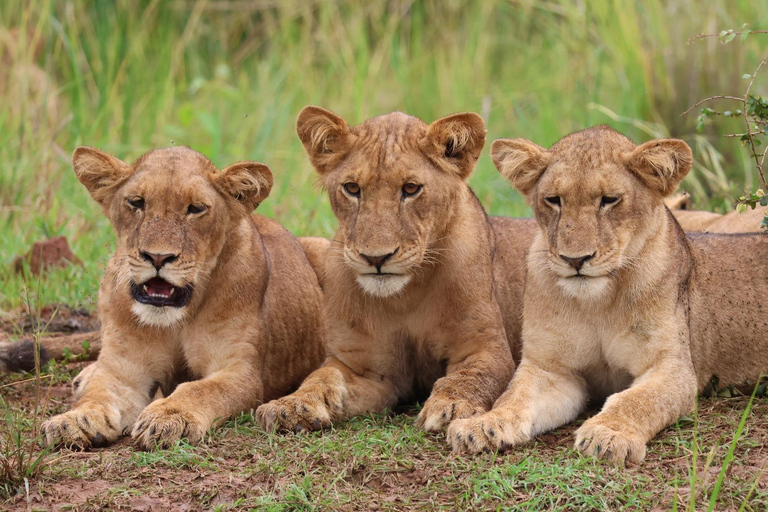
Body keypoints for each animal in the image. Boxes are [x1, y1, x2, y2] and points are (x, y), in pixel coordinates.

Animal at [39, 145, 324, 448]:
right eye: (137, 202)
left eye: (195, 209)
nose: (157, 257)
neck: (176, 319)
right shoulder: (124, 370)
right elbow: (100, 394)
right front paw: (73, 420)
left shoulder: (239, 372)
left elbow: (199, 389)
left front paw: (168, 418)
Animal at [255, 106, 520, 434]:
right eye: (352, 188)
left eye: (411, 189)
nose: (376, 258)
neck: (405, 297)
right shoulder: (363, 369)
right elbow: (320, 377)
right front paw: (290, 405)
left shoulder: (486, 348)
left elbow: (468, 377)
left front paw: (452, 407)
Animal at [448, 127, 768, 464]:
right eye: (554, 200)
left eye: (609, 200)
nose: (575, 259)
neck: (597, 303)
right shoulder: (550, 368)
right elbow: (515, 397)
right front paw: (482, 425)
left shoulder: (673, 369)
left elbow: (635, 400)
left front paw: (608, 435)